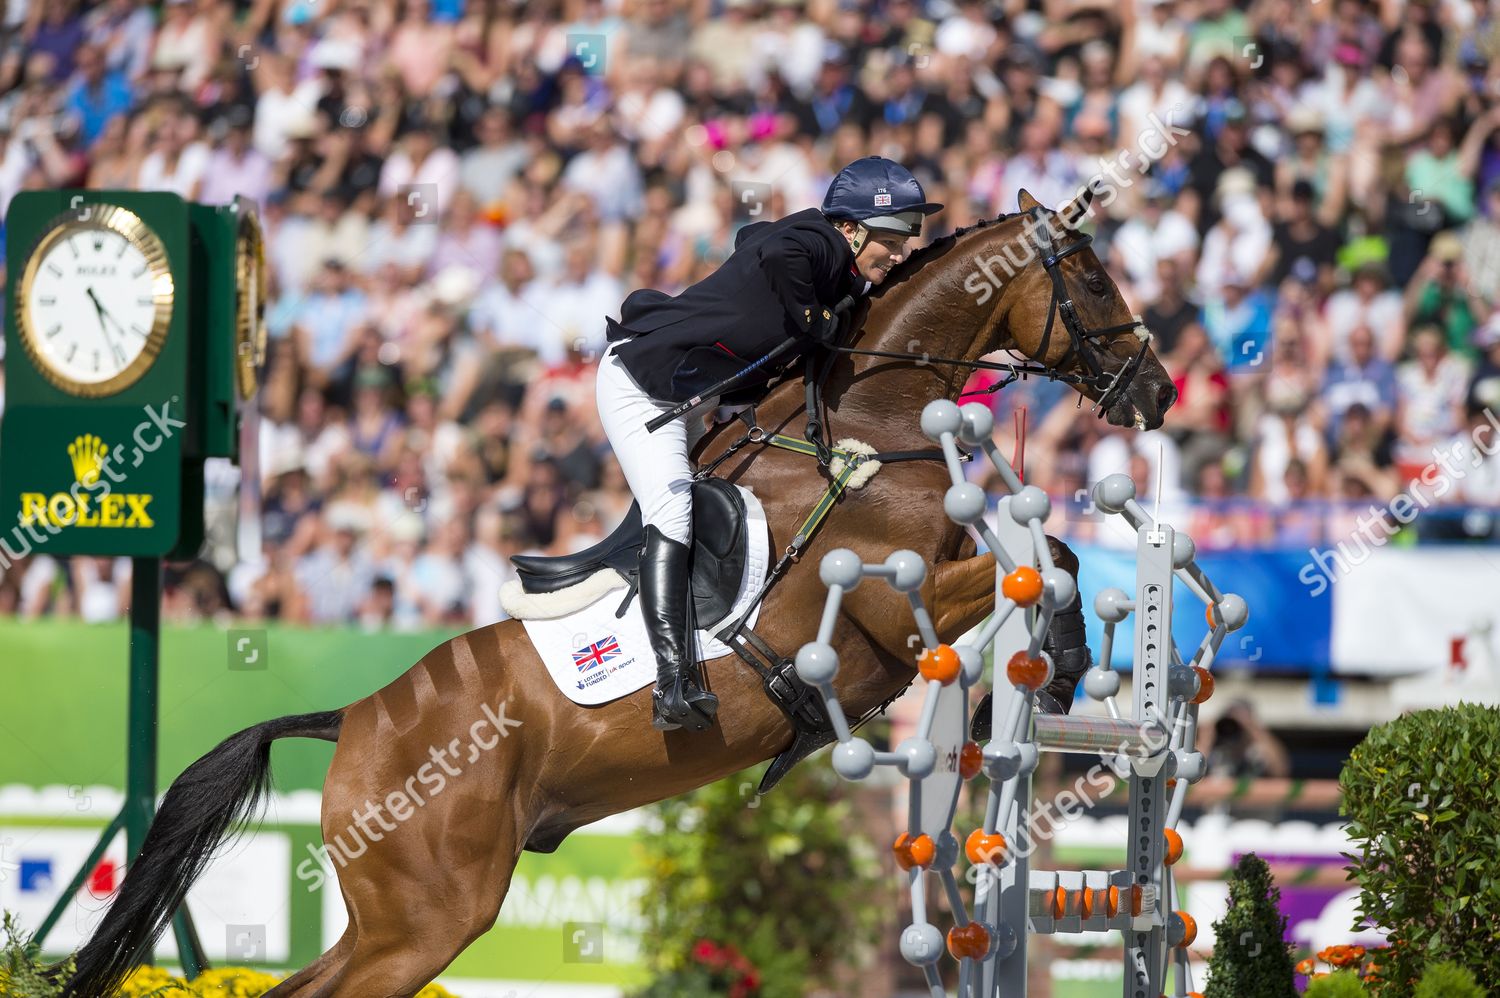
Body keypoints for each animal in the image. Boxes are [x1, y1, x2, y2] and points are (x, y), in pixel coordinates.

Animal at [58, 190, 1176, 990]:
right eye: (1090, 277)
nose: (1158, 392)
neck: (869, 421)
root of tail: (356, 721)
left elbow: (1049, 551)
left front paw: (1049, 672)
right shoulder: (885, 607)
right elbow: (1042, 562)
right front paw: (1060, 666)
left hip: (401, 920)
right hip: (426, 918)